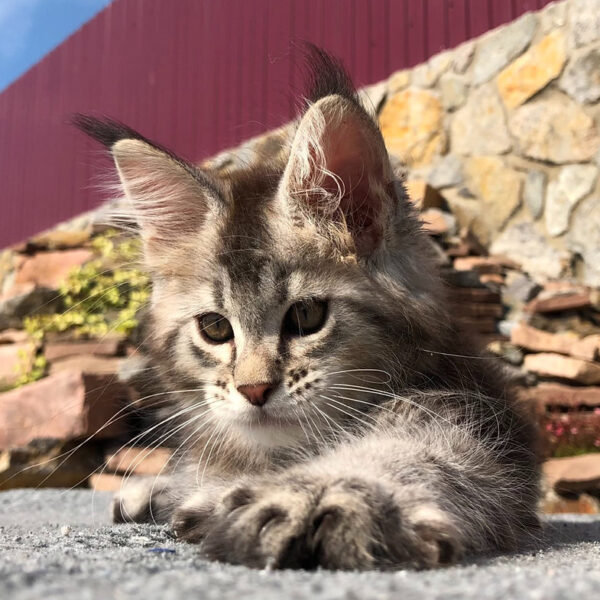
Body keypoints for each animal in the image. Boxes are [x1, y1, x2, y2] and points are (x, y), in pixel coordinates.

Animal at [74, 48, 540, 572]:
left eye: (305, 317)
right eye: (214, 327)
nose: (253, 390)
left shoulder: (479, 419)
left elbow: (413, 449)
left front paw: (322, 492)